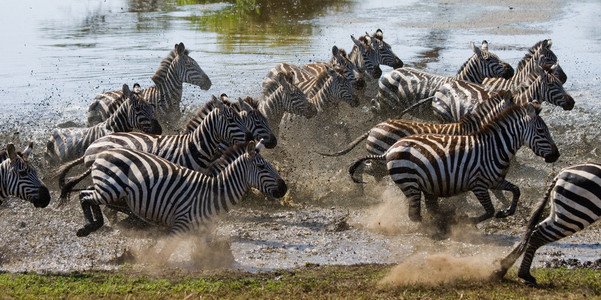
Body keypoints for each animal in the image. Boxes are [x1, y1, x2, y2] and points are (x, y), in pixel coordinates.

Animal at [70, 139, 286, 243]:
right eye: (261, 167)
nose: (284, 188)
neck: (211, 193)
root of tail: (103, 153)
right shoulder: (180, 225)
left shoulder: (202, 230)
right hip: (111, 190)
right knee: (84, 196)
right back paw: (89, 226)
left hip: (114, 193)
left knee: (88, 192)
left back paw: (95, 224)